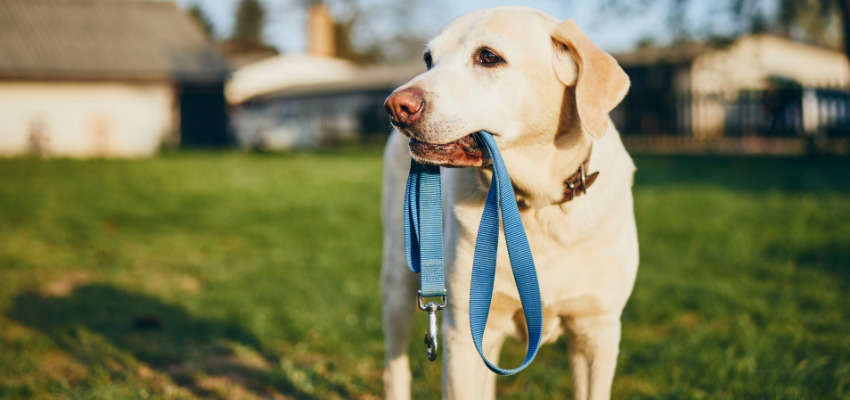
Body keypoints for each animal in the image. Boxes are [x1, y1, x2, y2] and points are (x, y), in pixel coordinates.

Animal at [380, 7, 636, 400]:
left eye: (488, 57)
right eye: (428, 60)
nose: (395, 106)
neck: (534, 207)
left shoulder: (597, 331)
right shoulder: (463, 332)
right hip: (399, 279)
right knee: (394, 365)